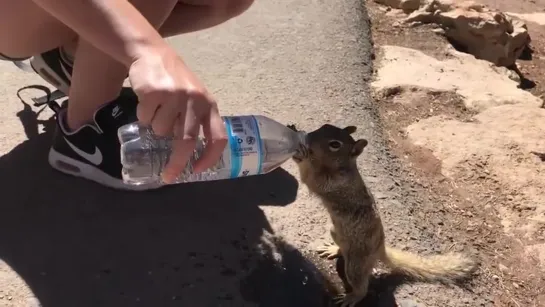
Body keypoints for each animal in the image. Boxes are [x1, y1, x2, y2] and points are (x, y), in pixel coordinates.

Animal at [288, 124, 476, 307]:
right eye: (323, 126)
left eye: (335, 145)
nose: (308, 138)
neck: (342, 166)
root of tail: (380, 248)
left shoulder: (333, 183)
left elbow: (310, 179)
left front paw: (301, 154)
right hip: (336, 232)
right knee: (342, 249)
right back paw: (334, 249)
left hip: (356, 263)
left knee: (361, 285)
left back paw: (352, 297)